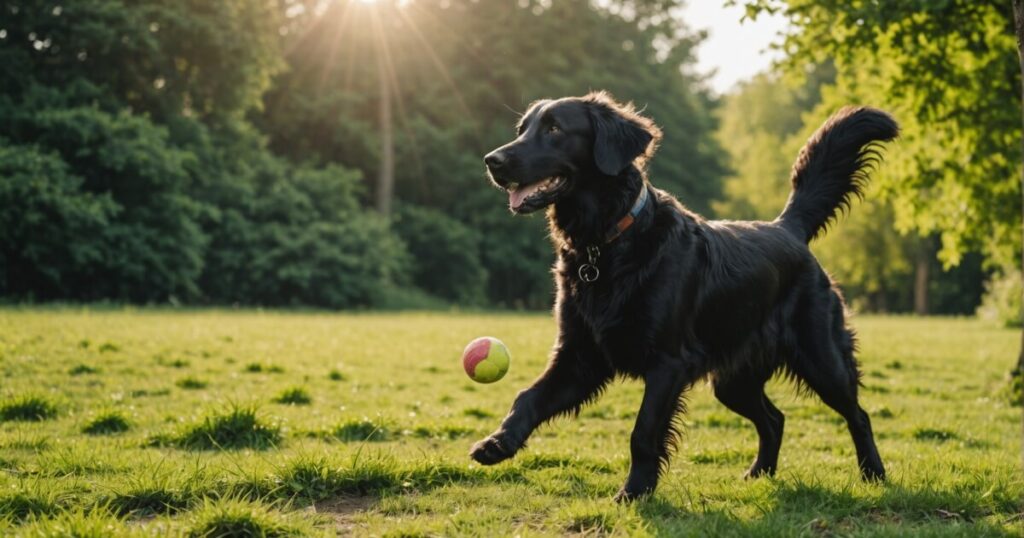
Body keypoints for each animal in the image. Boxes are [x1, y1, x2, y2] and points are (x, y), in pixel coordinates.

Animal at [471, 91, 897, 500]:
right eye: (523, 129)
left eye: (555, 129)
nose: (492, 160)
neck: (607, 244)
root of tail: (786, 228)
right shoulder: (579, 356)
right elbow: (527, 397)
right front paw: (498, 443)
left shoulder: (668, 363)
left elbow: (643, 432)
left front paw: (635, 491)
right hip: (733, 380)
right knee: (775, 419)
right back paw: (759, 473)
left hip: (822, 359)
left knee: (858, 415)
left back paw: (873, 474)